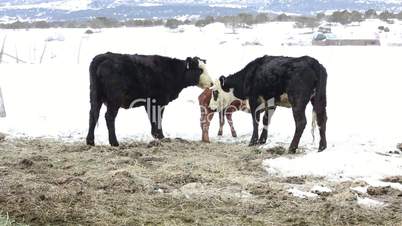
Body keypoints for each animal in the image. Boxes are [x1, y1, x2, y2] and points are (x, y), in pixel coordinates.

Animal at [86, 51, 214, 146]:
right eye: (200, 70)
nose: (212, 83)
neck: (172, 72)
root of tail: (102, 57)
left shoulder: (150, 103)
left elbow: (153, 119)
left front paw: (157, 136)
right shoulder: (158, 102)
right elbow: (158, 119)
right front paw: (161, 136)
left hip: (95, 95)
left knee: (93, 114)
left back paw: (90, 141)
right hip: (114, 100)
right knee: (109, 117)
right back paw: (114, 142)